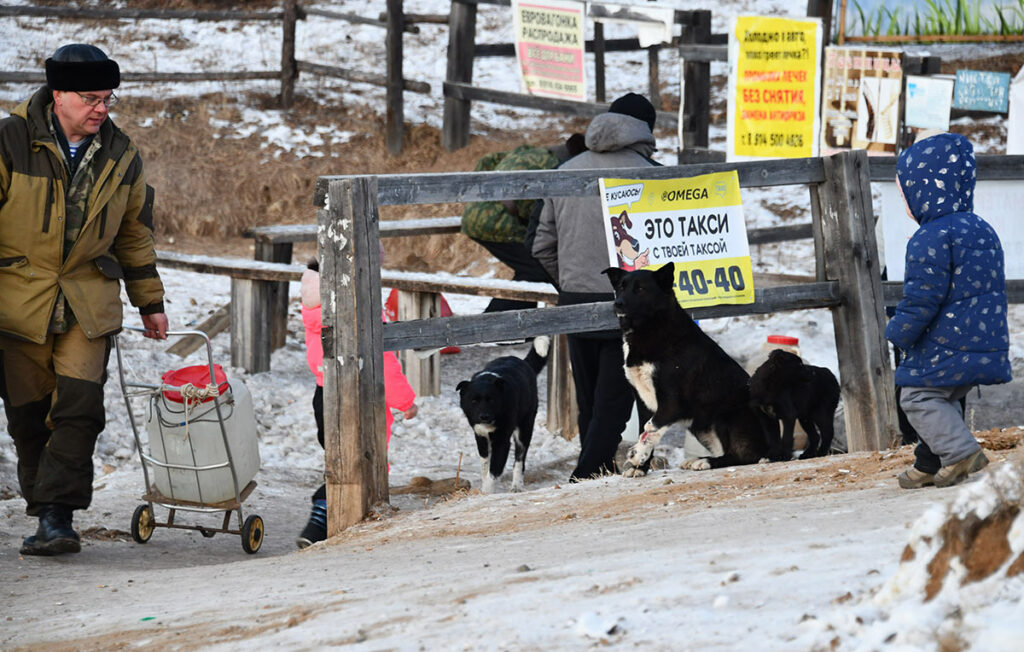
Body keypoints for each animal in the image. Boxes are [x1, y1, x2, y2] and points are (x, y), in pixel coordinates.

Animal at [458, 337, 552, 491]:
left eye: (491, 400)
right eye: (474, 401)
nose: (484, 416)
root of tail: (525, 363)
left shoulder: (502, 441)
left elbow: (493, 471)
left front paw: (487, 491)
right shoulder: (480, 437)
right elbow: (485, 467)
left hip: (524, 429)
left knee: (520, 460)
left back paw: (516, 485)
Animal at [602, 262, 778, 474]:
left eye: (640, 289)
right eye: (621, 287)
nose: (617, 303)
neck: (651, 327)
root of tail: (776, 449)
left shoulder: (671, 402)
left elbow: (650, 428)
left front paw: (638, 454)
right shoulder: (642, 401)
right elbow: (643, 429)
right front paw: (640, 467)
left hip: (727, 416)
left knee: (744, 456)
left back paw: (706, 462)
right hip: (702, 428)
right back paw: (699, 460)